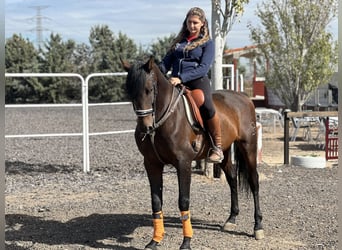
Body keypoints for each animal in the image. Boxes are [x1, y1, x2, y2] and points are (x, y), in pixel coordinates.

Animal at [123, 56, 264, 250]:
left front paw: (186, 242)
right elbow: (156, 201)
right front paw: (154, 241)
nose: (146, 128)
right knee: (232, 179)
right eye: (129, 92)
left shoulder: (183, 163)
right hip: (225, 152)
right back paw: (231, 219)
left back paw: (258, 227)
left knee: (254, 181)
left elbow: (183, 200)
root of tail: (244, 97)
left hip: (248, 147)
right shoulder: (152, 164)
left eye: (149, 89)